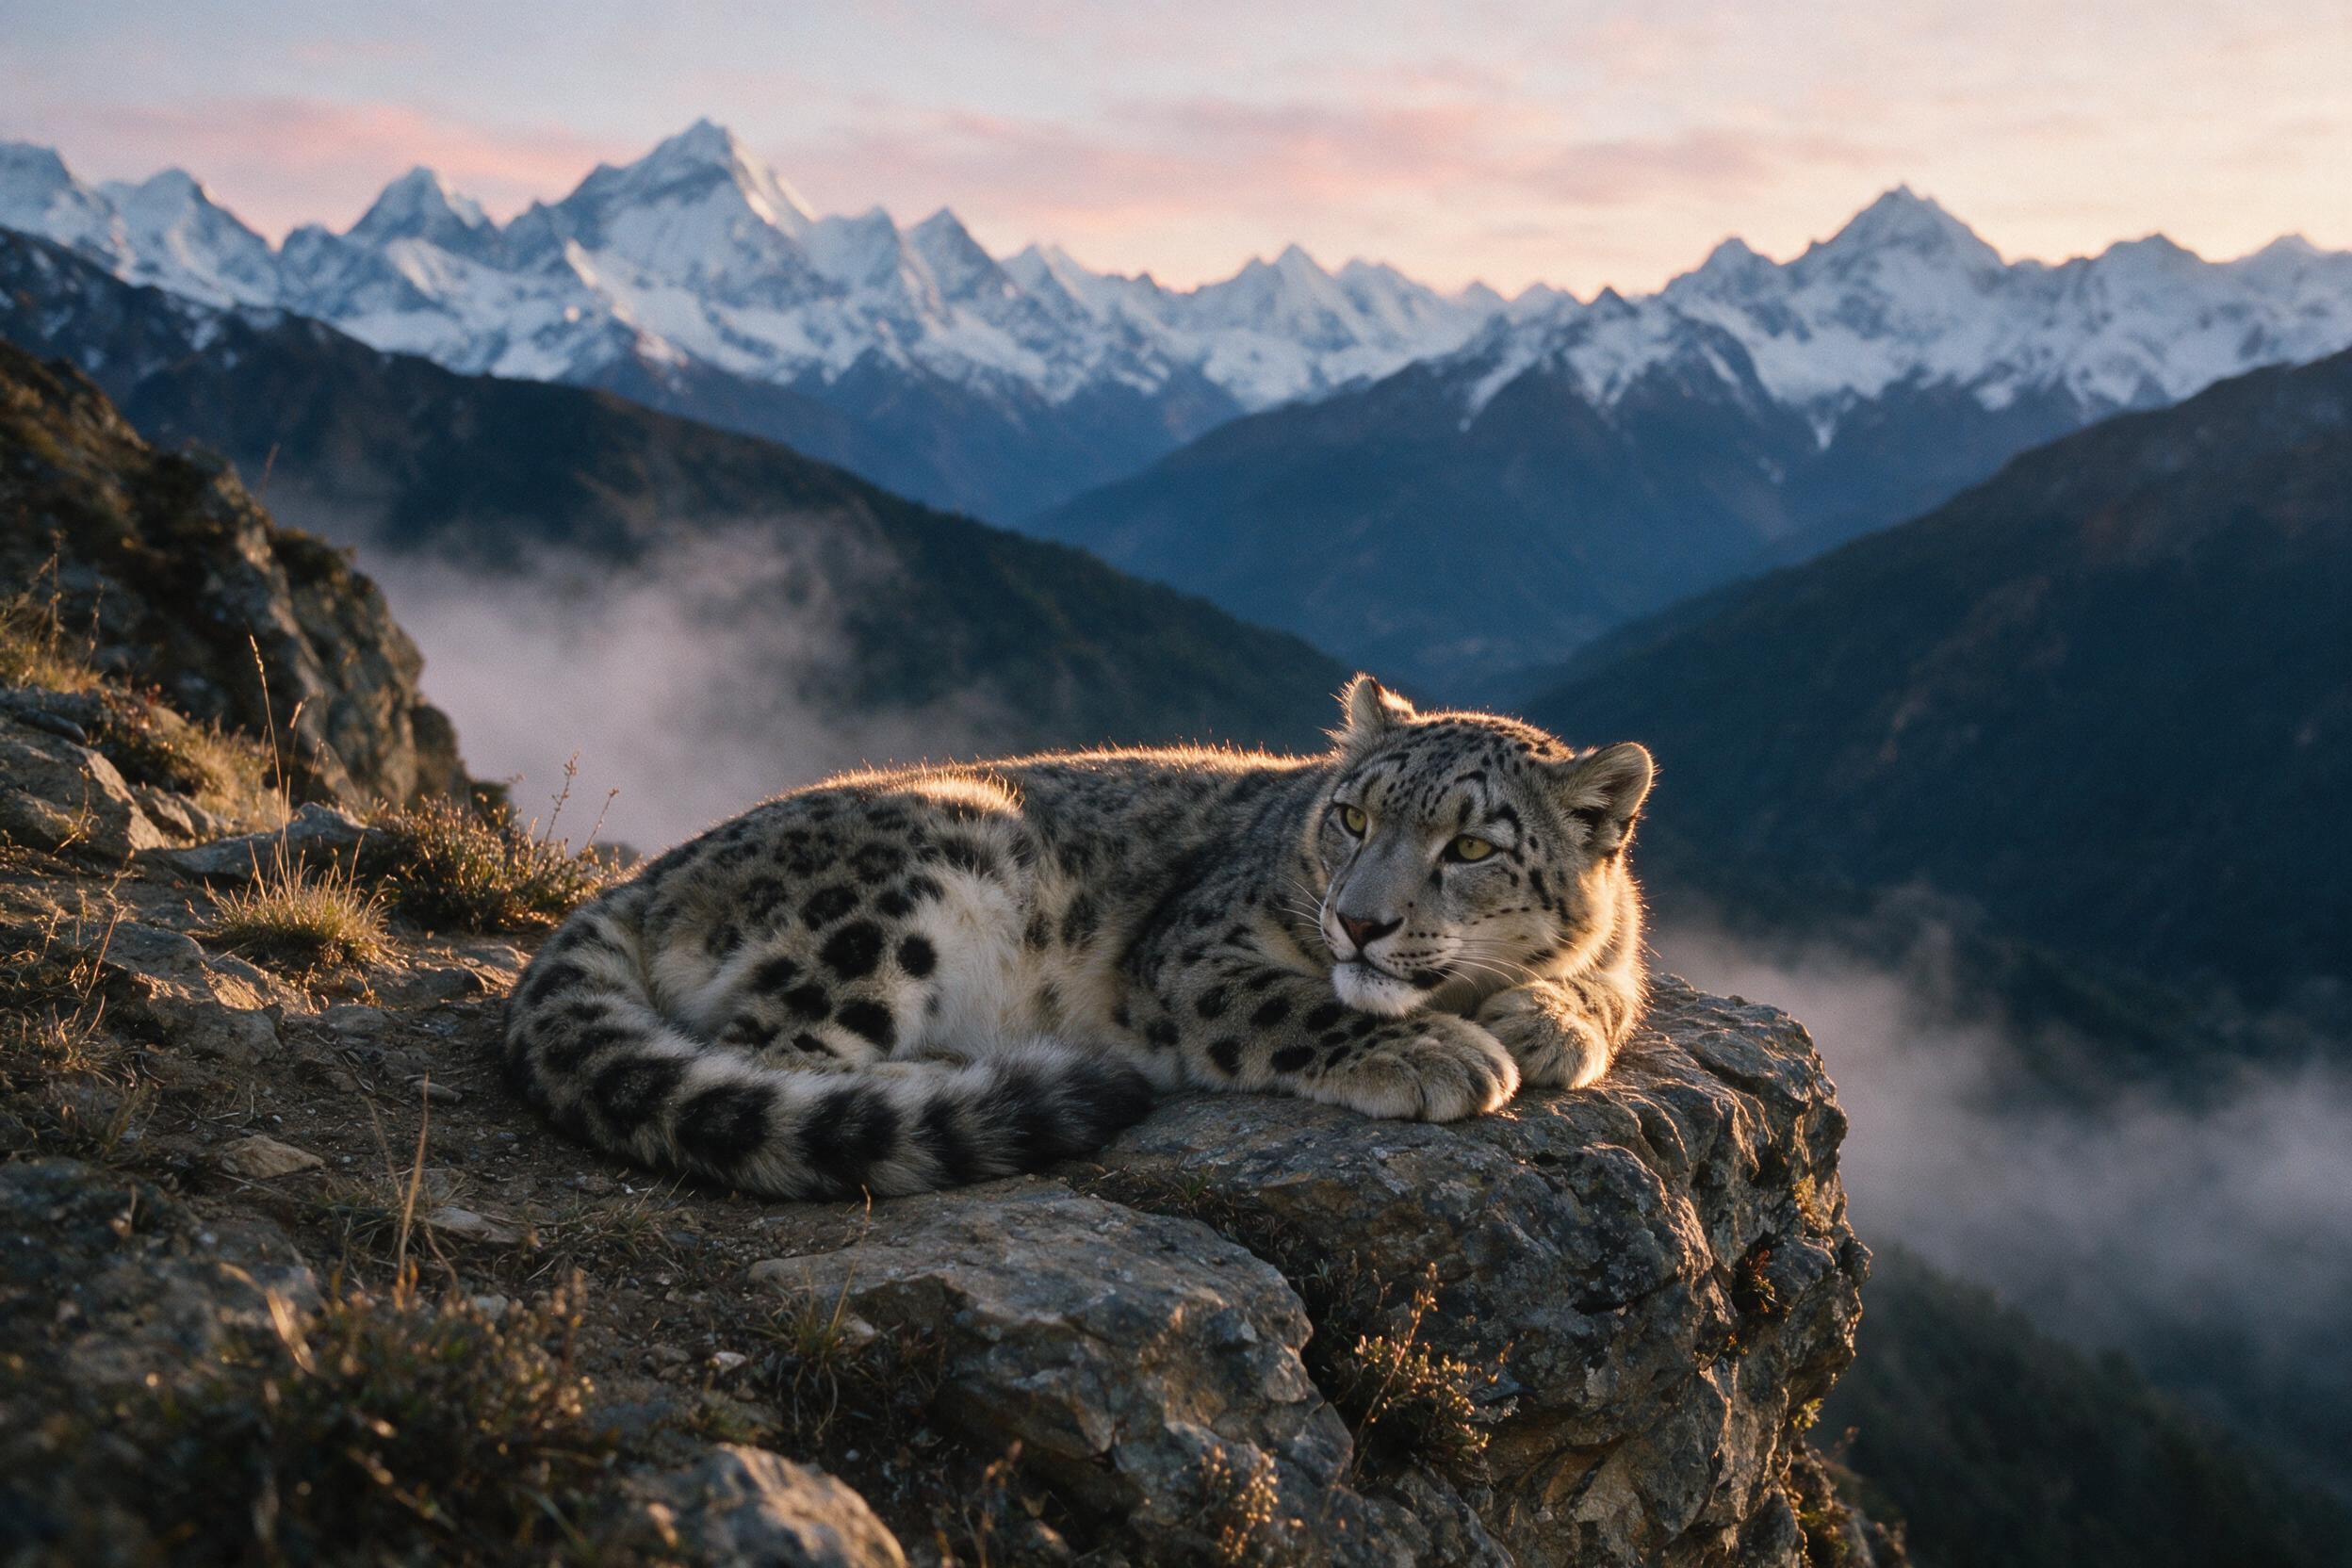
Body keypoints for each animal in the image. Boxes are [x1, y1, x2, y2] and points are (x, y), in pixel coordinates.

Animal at [501, 676, 1654, 1200]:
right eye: (1354, 818)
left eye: (1471, 845)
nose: (1359, 921)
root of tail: (652, 873)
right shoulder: (1190, 954)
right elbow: (1287, 1000)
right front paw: (1439, 1050)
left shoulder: (1622, 949)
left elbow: (1616, 976)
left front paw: (1552, 1020)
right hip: (912, 882)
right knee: (770, 1054)